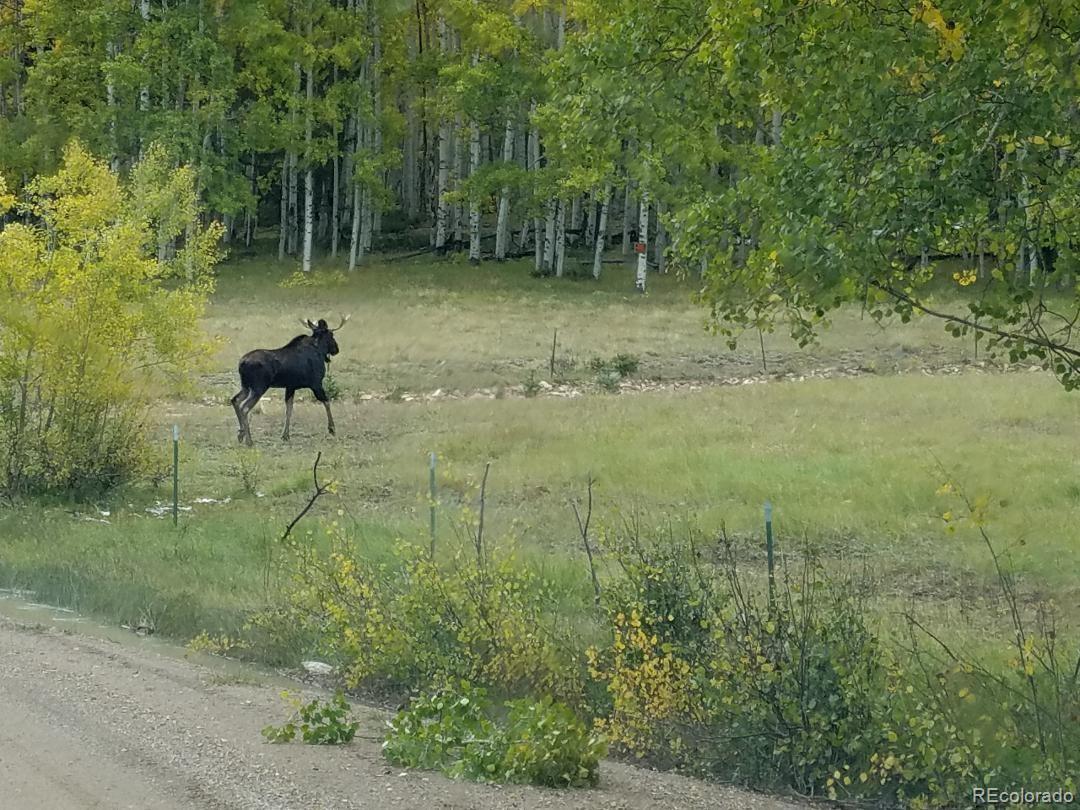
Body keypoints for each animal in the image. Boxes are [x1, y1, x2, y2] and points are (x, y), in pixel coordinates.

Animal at [232, 315, 349, 444]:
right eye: (331, 334)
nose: (336, 349)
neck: (319, 351)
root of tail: (241, 363)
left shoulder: (290, 386)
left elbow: (289, 409)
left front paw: (285, 435)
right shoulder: (316, 384)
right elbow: (327, 402)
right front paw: (332, 428)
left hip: (246, 386)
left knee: (235, 400)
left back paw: (241, 433)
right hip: (258, 388)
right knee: (244, 407)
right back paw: (249, 440)